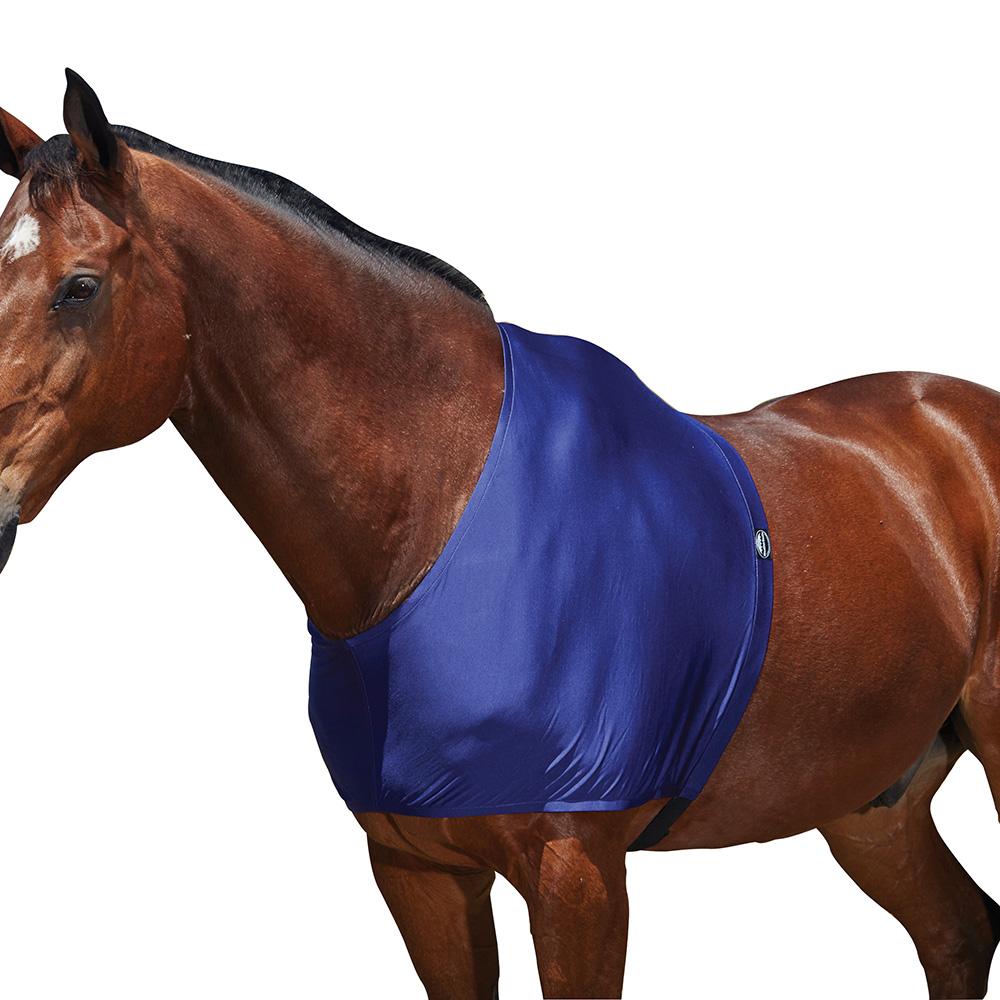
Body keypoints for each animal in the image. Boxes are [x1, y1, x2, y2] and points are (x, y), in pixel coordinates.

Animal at [1, 70, 999, 1000]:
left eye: (79, 287)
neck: (436, 520)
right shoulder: (420, 871)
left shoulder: (578, 880)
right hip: (870, 799)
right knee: (957, 930)